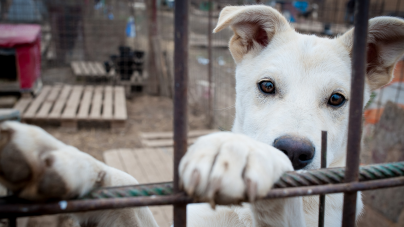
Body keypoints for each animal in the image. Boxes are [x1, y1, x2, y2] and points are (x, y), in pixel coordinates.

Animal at [0, 4, 404, 227]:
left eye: (337, 99)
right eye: (267, 86)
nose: (295, 151)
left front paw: (241, 154)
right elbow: (121, 184)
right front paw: (57, 158)